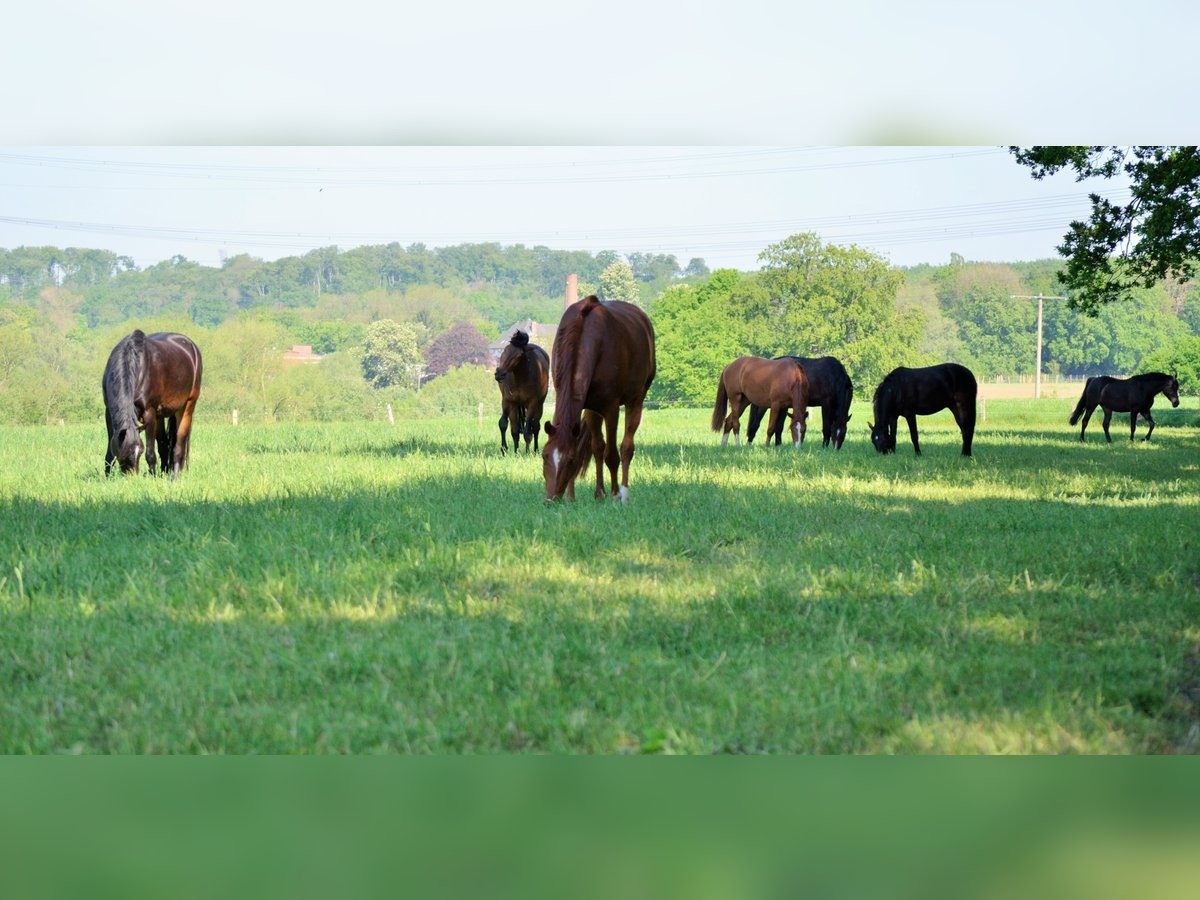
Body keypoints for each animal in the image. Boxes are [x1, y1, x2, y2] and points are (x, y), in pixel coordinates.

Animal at [102, 328, 202, 480]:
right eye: (124, 453)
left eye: (140, 452)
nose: (132, 479)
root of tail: (192, 347)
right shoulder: (108, 413)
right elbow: (109, 453)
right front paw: (107, 478)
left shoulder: (149, 413)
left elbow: (150, 453)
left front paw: (153, 478)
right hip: (160, 416)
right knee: (164, 445)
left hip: (187, 407)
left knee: (179, 445)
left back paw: (175, 477)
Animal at [544, 297, 657, 504]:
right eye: (544, 456)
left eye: (570, 461)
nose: (550, 500)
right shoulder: (587, 406)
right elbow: (594, 448)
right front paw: (573, 497)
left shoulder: (611, 408)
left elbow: (611, 455)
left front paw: (614, 495)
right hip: (593, 410)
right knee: (598, 447)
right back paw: (599, 493)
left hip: (636, 399)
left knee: (626, 447)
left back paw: (623, 494)